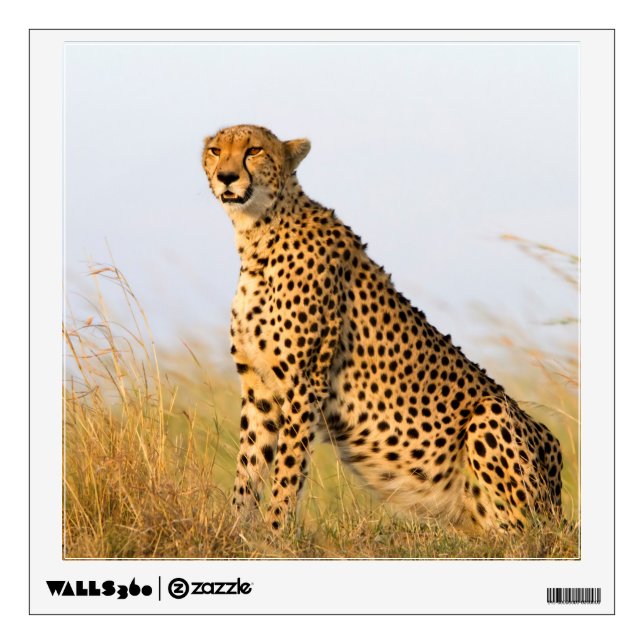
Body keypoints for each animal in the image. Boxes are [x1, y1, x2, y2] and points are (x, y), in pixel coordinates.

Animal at [202, 124, 563, 533]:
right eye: (215, 151)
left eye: (254, 151)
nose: (226, 176)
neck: (258, 233)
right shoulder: (259, 386)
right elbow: (249, 465)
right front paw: (234, 530)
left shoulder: (304, 382)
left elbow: (287, 470)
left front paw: (276, 533)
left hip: (493, 416)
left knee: (522, 534)